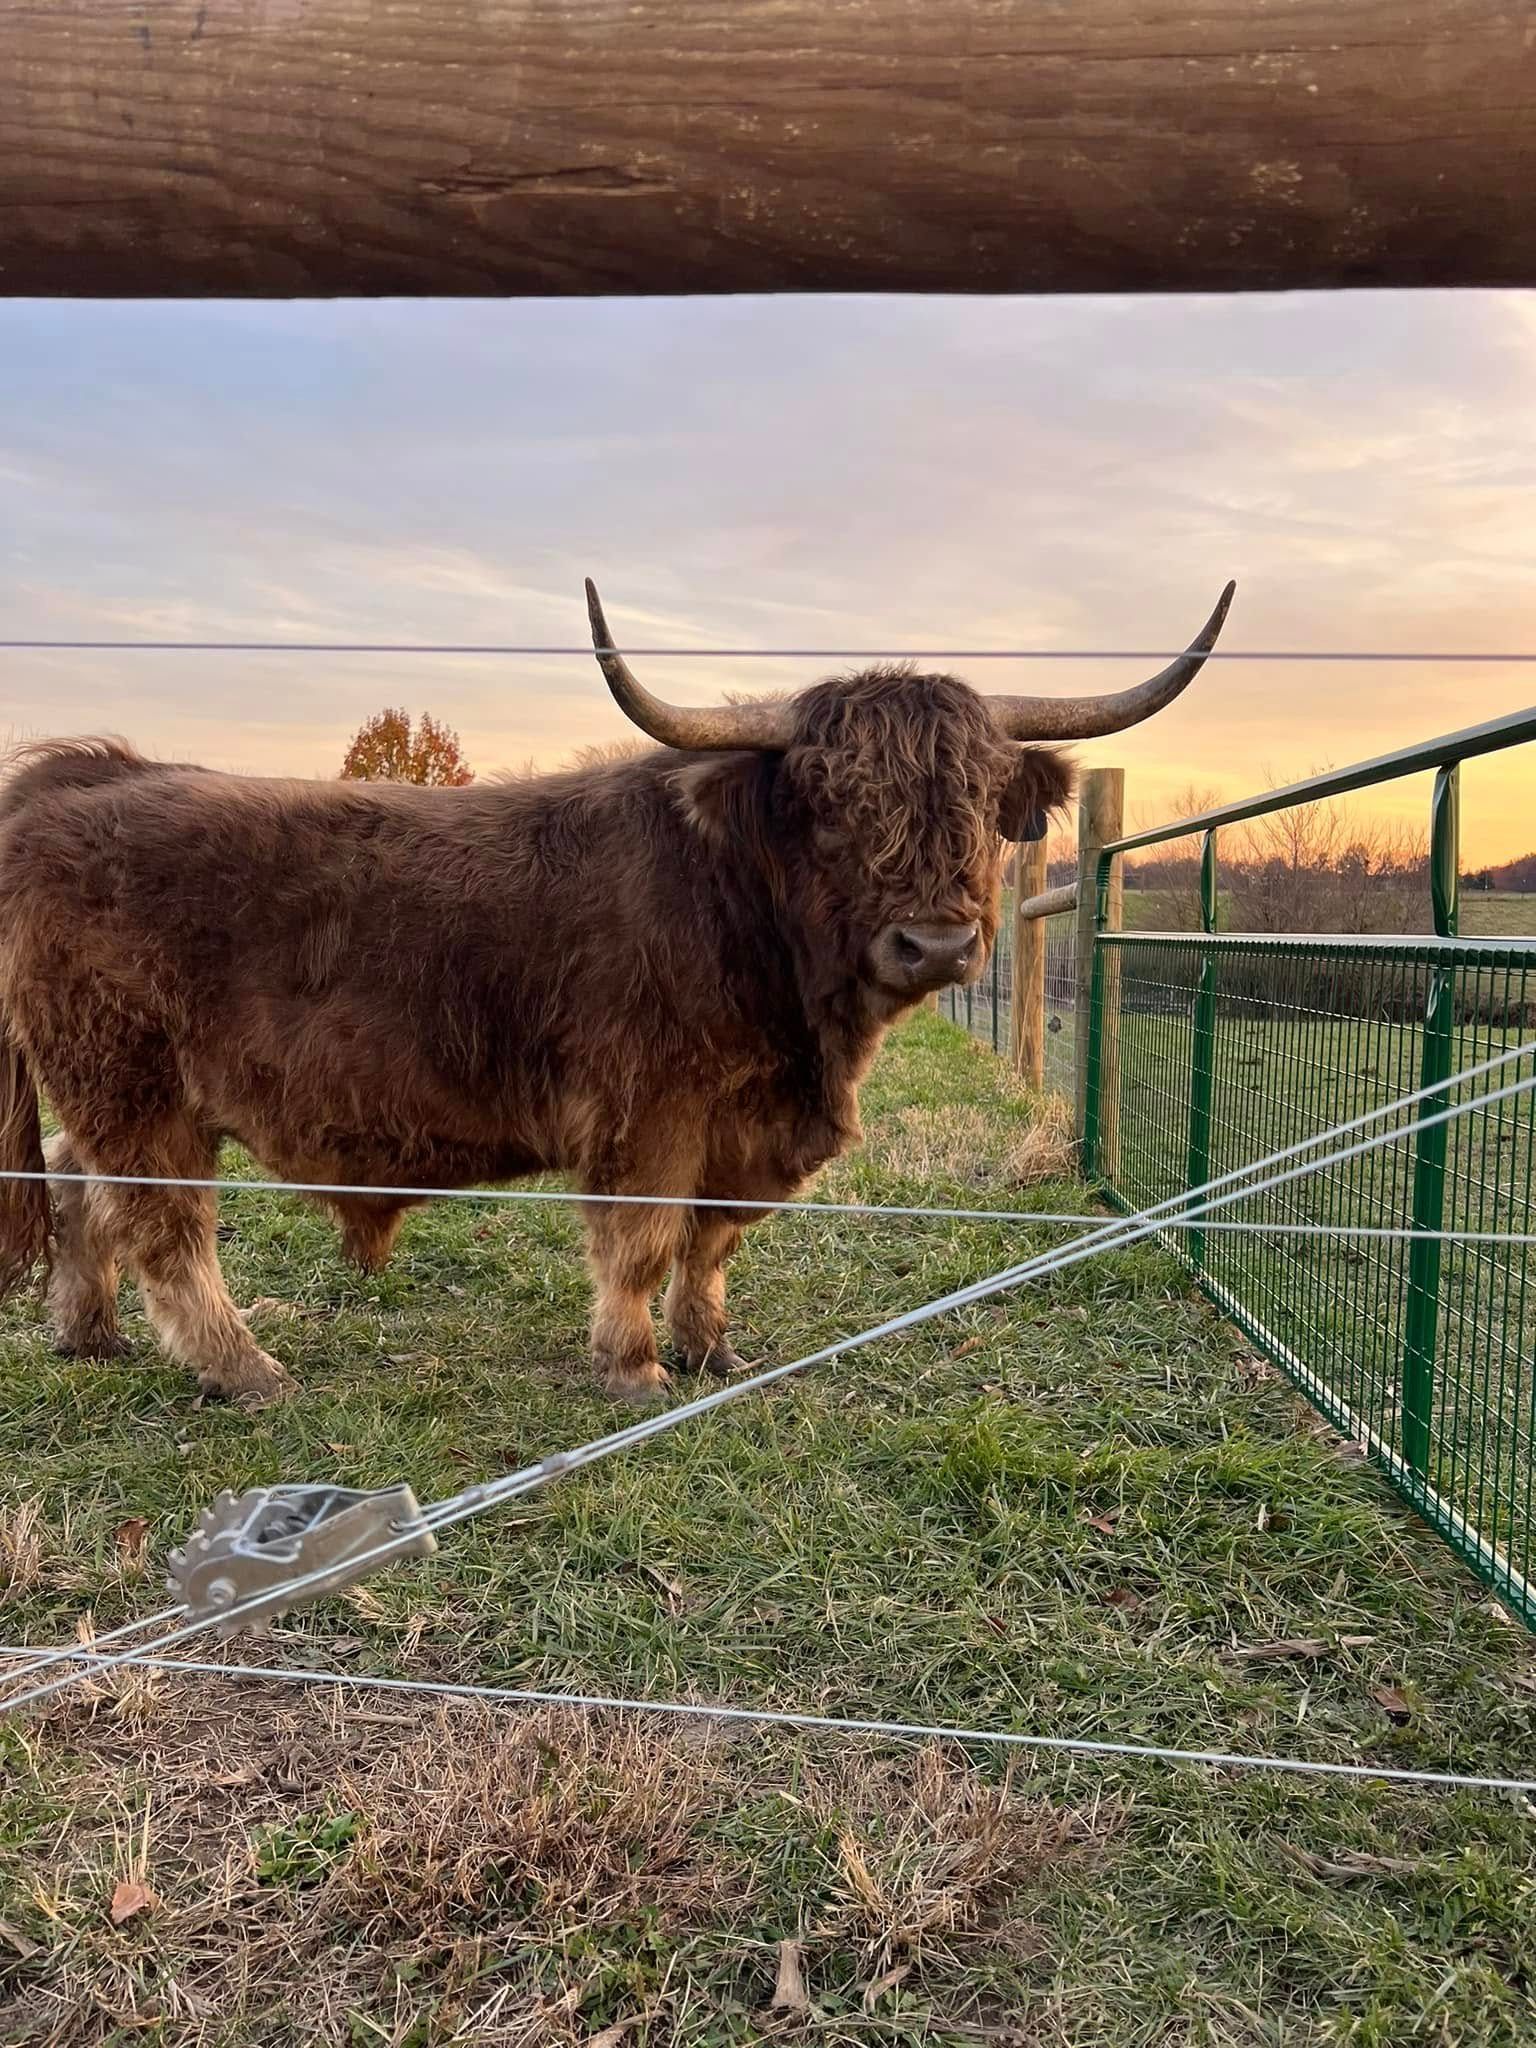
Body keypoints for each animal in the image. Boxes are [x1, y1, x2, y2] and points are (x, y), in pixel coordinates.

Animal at [0, 575, 1232, 1408]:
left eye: (979, 799)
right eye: (828, 799)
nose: (932, 944)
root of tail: (85, 772)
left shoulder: (746, 1127)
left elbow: (711, 1243)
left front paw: (712, 1347)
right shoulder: (651, 1112)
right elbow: (641, 1237)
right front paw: (634, 1365)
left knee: (74, 1185)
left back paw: (88, 1334)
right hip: (133, 1084)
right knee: (160, 1223)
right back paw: (245, 1366)